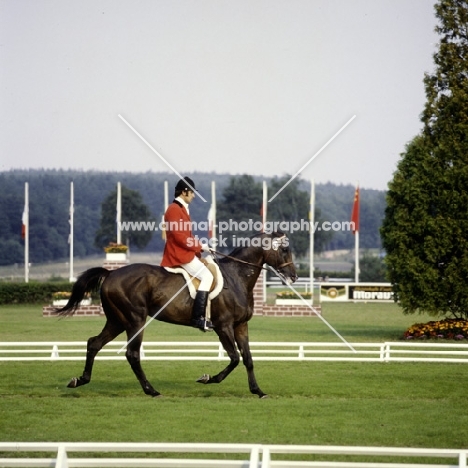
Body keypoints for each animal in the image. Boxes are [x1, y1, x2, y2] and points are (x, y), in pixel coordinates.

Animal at [56, 232, 298, 396]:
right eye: (284, 250)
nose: (294, 276)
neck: (237, 277)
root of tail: (111, 274)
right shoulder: (224, 326)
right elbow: (234, 358)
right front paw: (207, 378)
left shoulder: (241, 326)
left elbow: (248, 358)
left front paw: (258, 391)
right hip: (135, 320)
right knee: (132, 354)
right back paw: (151, 390)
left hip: (117, 321)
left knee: (94, 343)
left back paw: (80, 380)